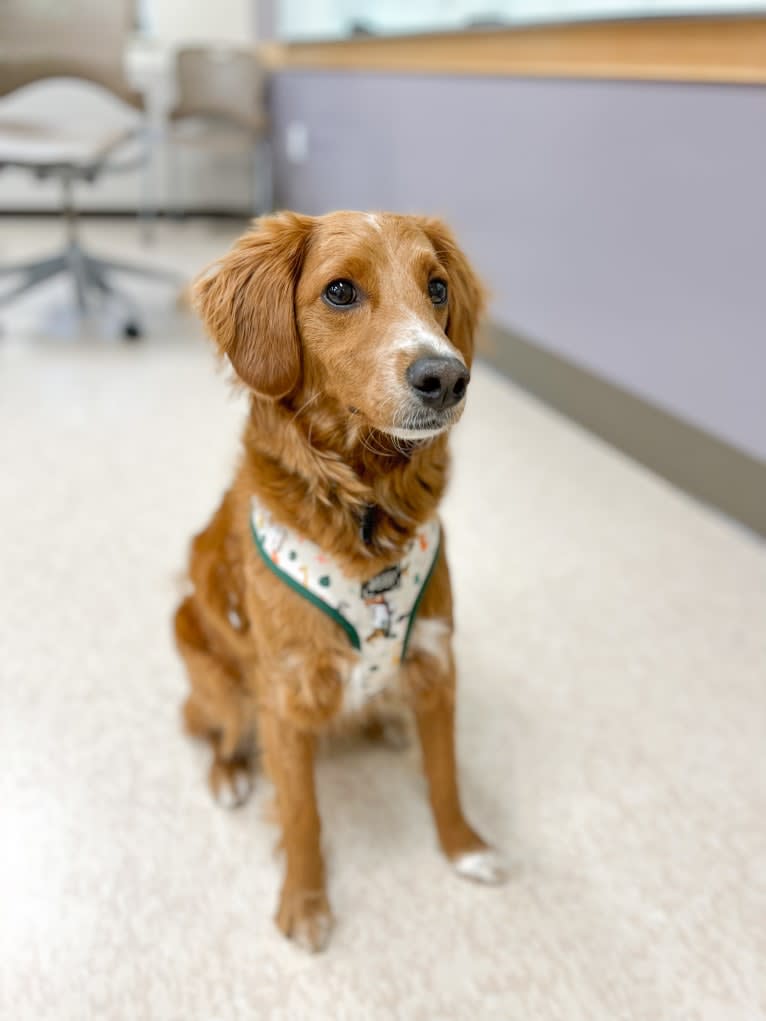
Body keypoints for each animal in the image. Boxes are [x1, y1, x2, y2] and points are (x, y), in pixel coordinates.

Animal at [176, 211, 506, 951]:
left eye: (437, 287)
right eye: (340, 291)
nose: (447, 376)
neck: (365, 520)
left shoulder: (438, 661)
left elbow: (445, 774)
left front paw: (463, 846)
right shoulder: (285, 693)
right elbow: (302, 814)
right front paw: (303, 903)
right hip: (214, 671)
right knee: (215, 728)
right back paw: (227, 774)